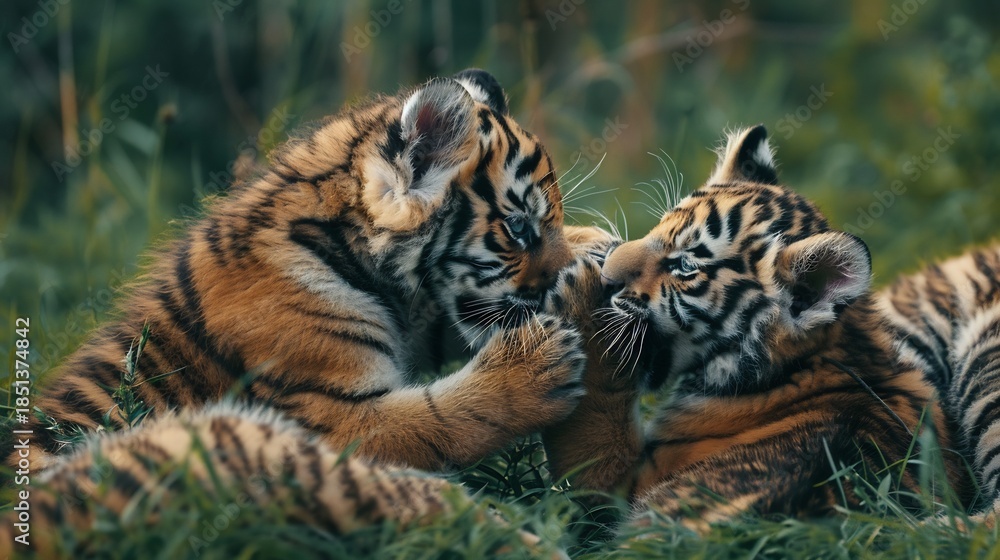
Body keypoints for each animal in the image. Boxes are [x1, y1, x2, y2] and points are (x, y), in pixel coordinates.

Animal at [12, 68, 594, 475]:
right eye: (518, 228)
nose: (560, 279)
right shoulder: (330, 413)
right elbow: (438, 419)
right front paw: (535, 367)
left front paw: (593, 246)